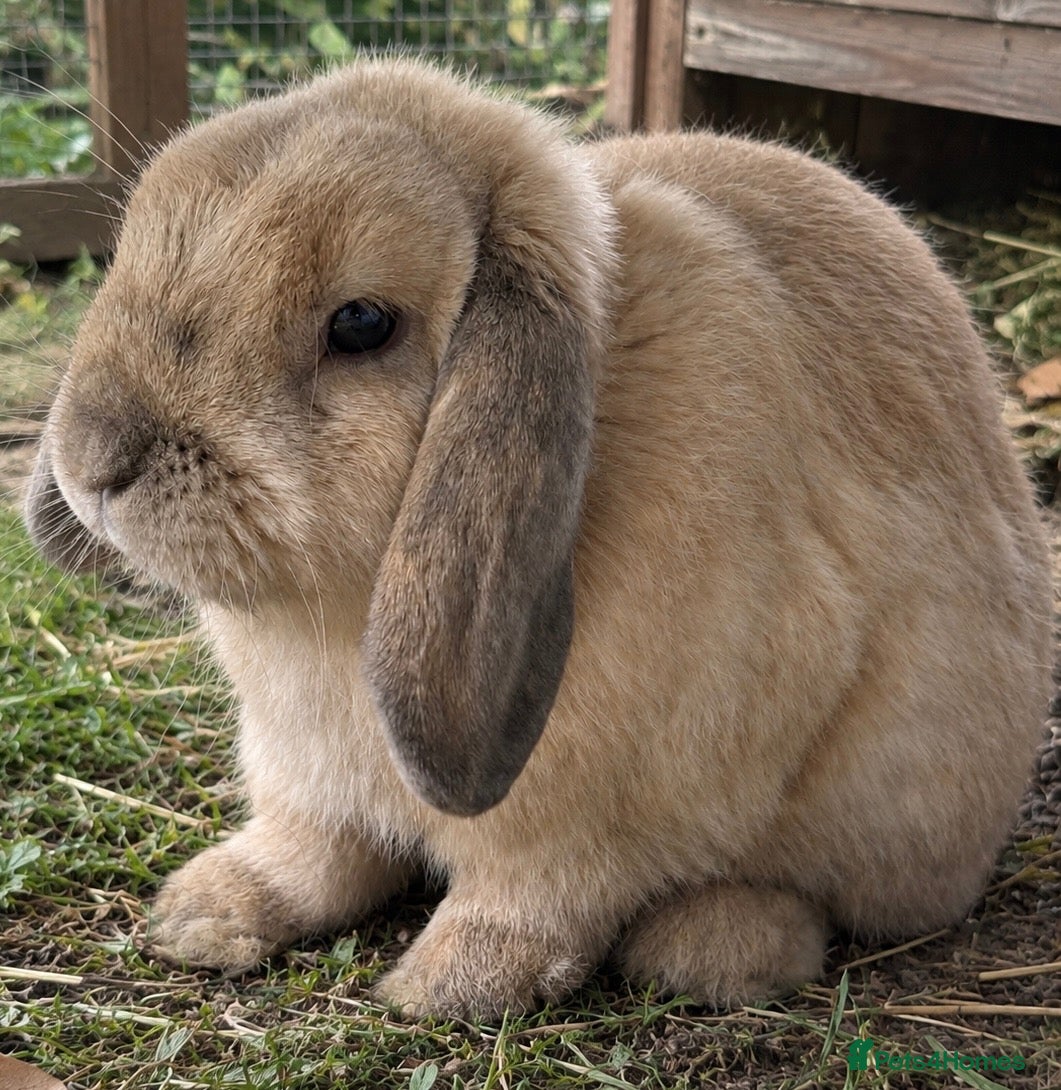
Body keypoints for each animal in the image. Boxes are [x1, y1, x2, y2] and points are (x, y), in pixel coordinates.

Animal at [24, 58, 1051, 1020]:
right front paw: (201, 918)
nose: (95, 461)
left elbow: (533, 896)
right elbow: (308, 855)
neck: (336, 606)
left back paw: (710, 950)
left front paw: (449, 986)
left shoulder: (588, 817)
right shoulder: (305, 780)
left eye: (360, 323)